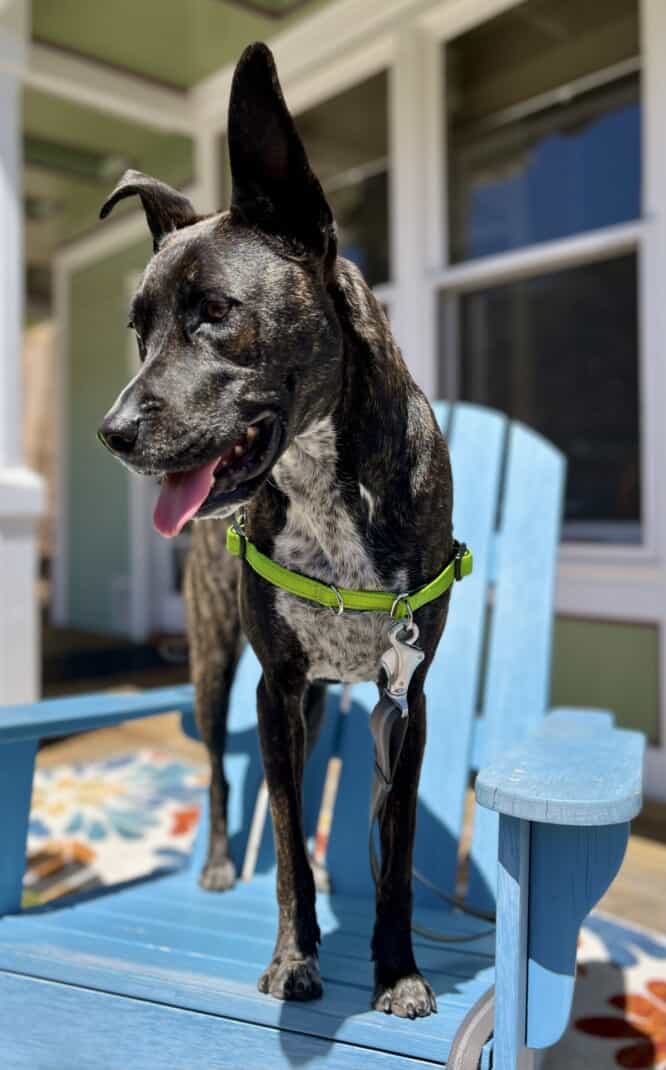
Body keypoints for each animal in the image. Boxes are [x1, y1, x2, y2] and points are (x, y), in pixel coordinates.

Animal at [97, 43, 453, 1018]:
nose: (112, 432)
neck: (328, 482)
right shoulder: (275, 685)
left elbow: (395, 858)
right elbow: (288, 841)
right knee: (223, 776)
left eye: (215, 311)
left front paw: (396, 969)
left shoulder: (406, 699)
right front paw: (297, 956)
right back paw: (222, 862)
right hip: (214, 665)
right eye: (137, 329)